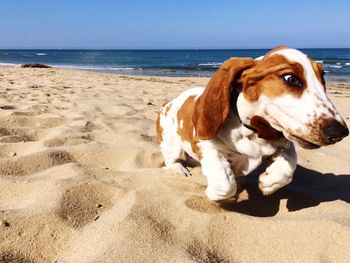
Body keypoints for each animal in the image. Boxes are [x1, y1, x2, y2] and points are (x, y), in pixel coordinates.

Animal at [157, 46, 348, 201]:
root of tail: (168, 103)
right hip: (171, 145)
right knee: (170, 161)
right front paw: (212, 193)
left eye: (323, 78)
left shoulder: (281, 142)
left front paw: (269, 182)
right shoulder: (205, 146)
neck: (252, 132)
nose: (340, 133)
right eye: (291, 79)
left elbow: (290, 163)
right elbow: (226, 184)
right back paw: (179, 169)